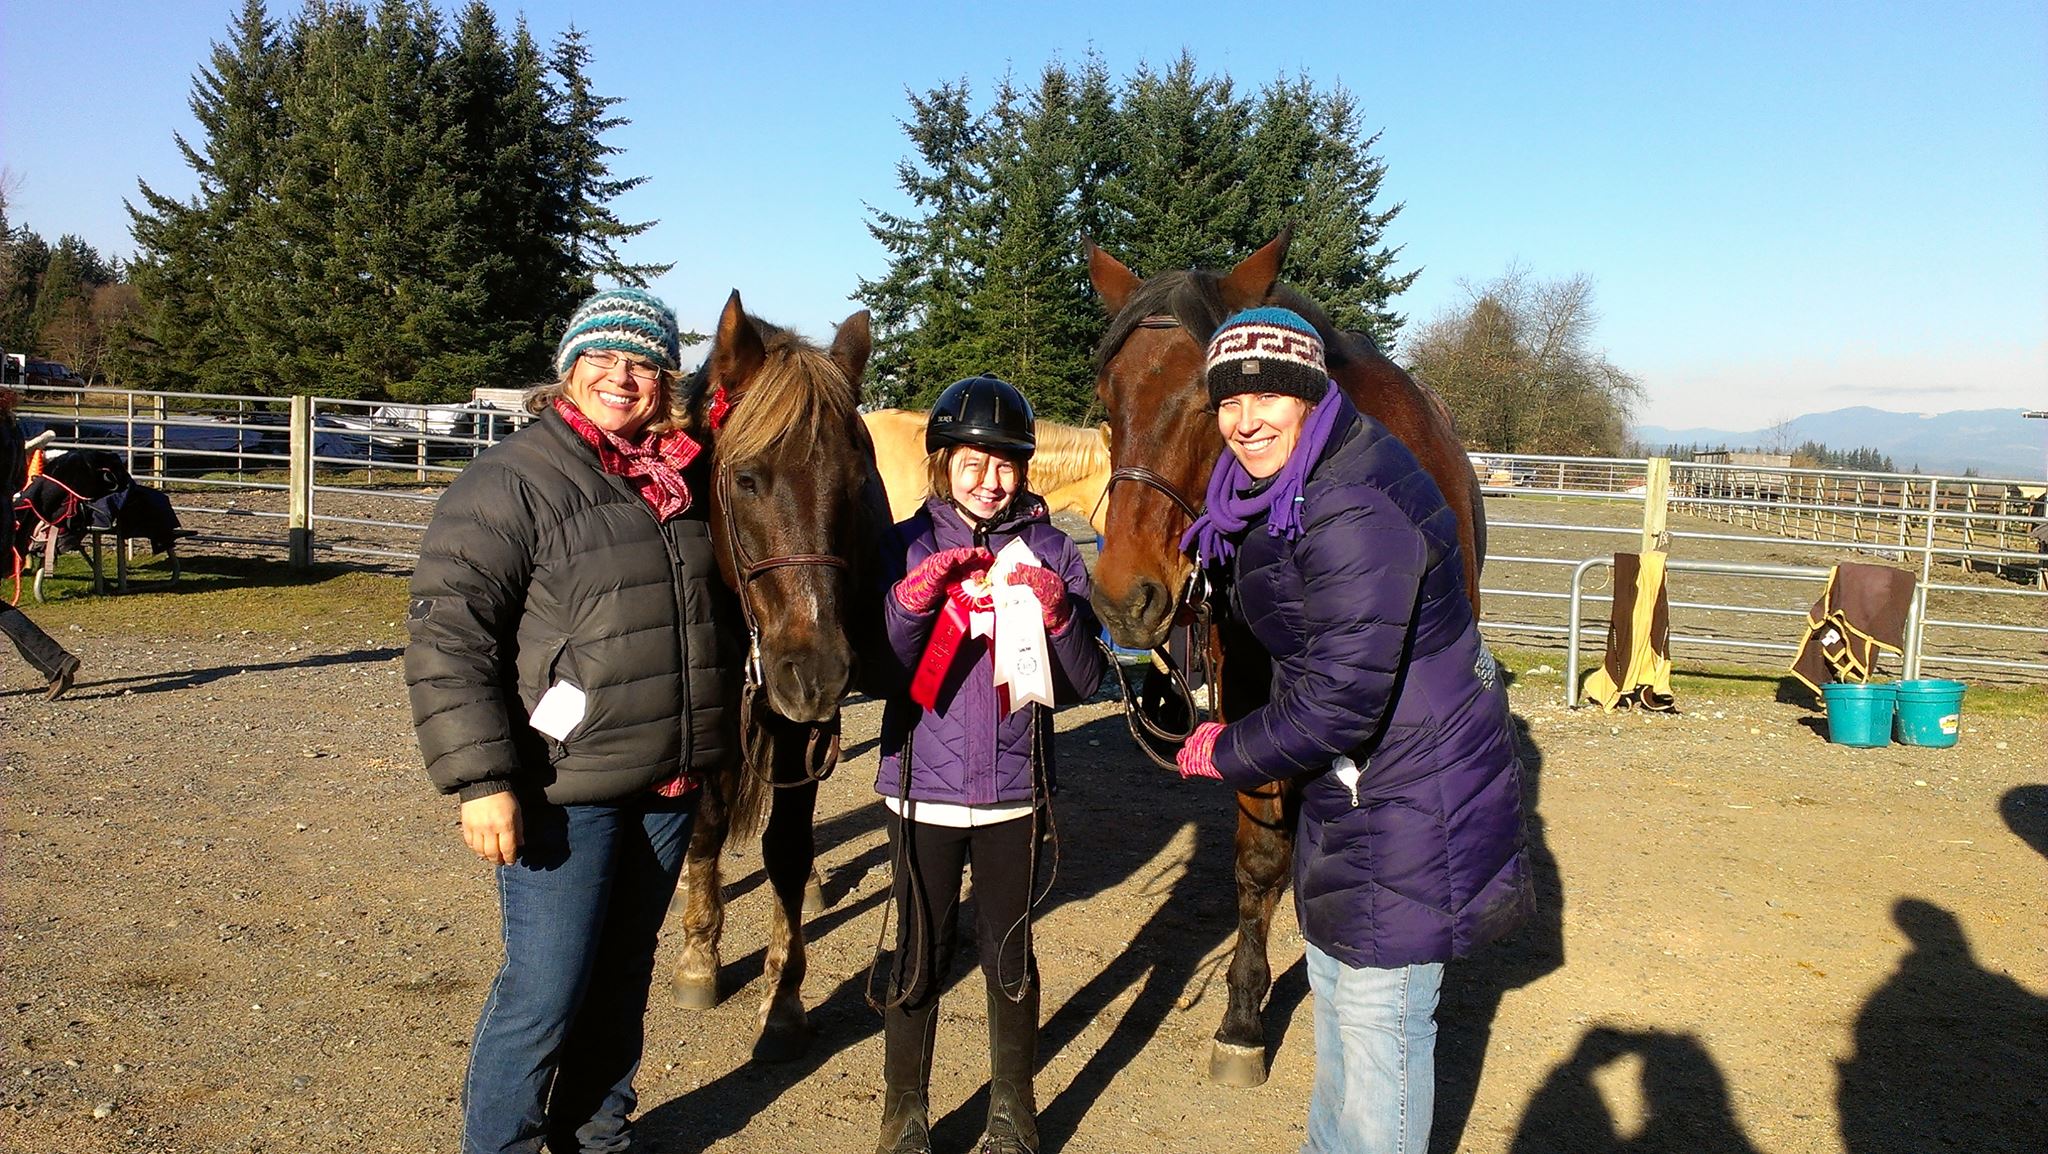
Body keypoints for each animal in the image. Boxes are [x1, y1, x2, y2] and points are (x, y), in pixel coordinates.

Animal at [667, 291, 884, 1065]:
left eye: (857, 483)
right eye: (745, 479)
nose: (815, 668)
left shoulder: (800, 723)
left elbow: (788, 850)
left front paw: (784, 997)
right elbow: (704, 825)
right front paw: (698, 955)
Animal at [1089, 230, 1490, 1090]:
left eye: (1207, 397)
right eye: (1107, 400)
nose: (1122, 596)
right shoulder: (1251, 703)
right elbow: (1260, 853)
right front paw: (1244, 1015)